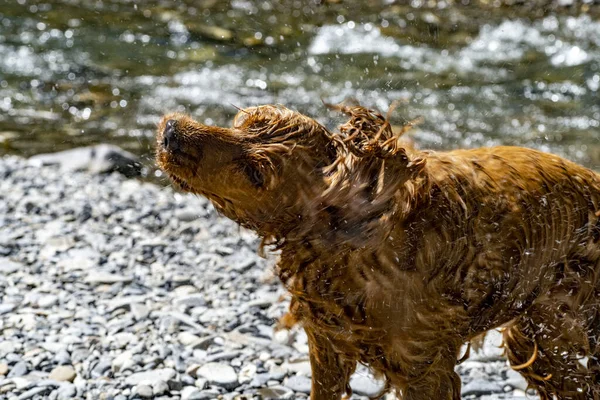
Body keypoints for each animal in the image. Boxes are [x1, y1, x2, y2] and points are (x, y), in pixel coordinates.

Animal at [156, 104, 600, 398]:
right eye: (245, 121)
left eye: (255, 173)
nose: (171, 132)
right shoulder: (327, 345)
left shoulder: (424, 366)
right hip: (537, 341)